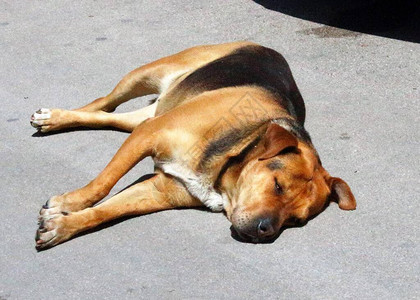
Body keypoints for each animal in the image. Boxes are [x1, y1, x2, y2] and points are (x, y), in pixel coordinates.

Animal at [31, 41, 356, 250]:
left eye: (296, 221)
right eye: (277, 185)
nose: (265, 232)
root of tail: (270, 49)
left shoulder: (159, 190)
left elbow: (106, 212)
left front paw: (62, 226)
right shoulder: (149, 135)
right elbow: (102, 185)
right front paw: (68, 203)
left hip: (147, 116)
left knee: (110, 116)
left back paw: (57, 120)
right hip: (146, 76)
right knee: (104, 102)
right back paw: (53, 117)